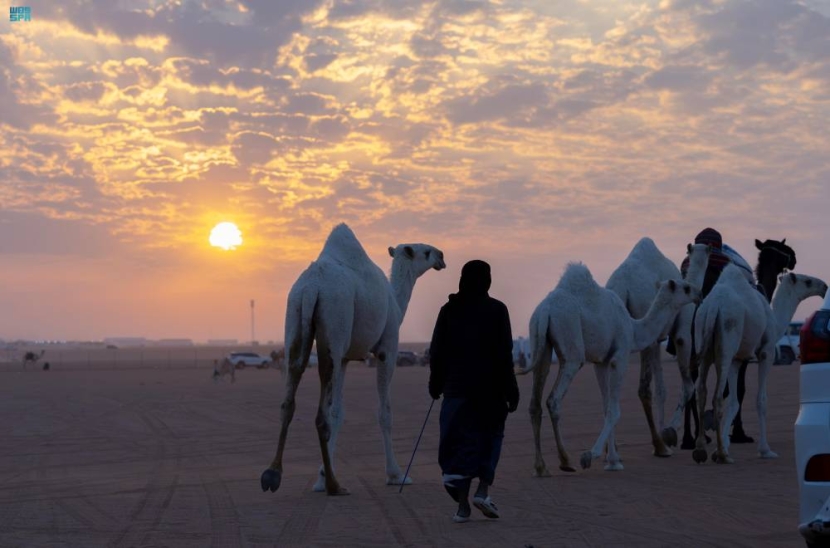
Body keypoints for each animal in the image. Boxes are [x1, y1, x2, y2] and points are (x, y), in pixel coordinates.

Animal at [260, 223, 446, 496]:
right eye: (426, 251)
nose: (442, 256)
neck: (395, 302)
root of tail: (312, 286)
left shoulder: (347, 358)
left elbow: (339, 412)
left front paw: (320, 476)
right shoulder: (387, 349)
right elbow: (384, 412)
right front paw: (396, 474)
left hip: (294, 315)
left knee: (290, 391)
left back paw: (273, 476)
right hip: (335, 320)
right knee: (322, 413)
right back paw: (334, 485)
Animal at [520, 262, 704, 476]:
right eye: (686, 287)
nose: (699, 294)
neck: (633, 328)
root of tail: (545, 311)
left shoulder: (601, 362)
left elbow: (606, 406)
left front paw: (613, 460)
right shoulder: (620, 357)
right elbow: (615, 410)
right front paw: (590, 456)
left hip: (540, 343)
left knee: (535, 403)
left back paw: (541, 467)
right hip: (572, 349)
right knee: (553, 400)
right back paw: (566, 461)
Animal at [608, 238, 712, 456]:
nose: (700, 294)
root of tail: (621, 287)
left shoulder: (657, 339)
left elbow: (662, 390)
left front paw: (665, 432)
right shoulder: (681, 333)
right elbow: (687, 386)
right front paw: (670, 432)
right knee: (644, 388)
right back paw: (659, 446)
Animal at [692, 266, 828, 462]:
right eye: (807, 281)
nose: (824, 287)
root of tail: (713, 306)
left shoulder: (737, 360)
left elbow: (734, 402)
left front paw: (725, 443)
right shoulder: (766, 351)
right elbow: (761, 401)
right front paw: (765, 450)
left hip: (703, 341)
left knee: (701, 392)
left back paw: (700, 450)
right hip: (727, 338)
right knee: (716, 396)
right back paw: (722, 455)